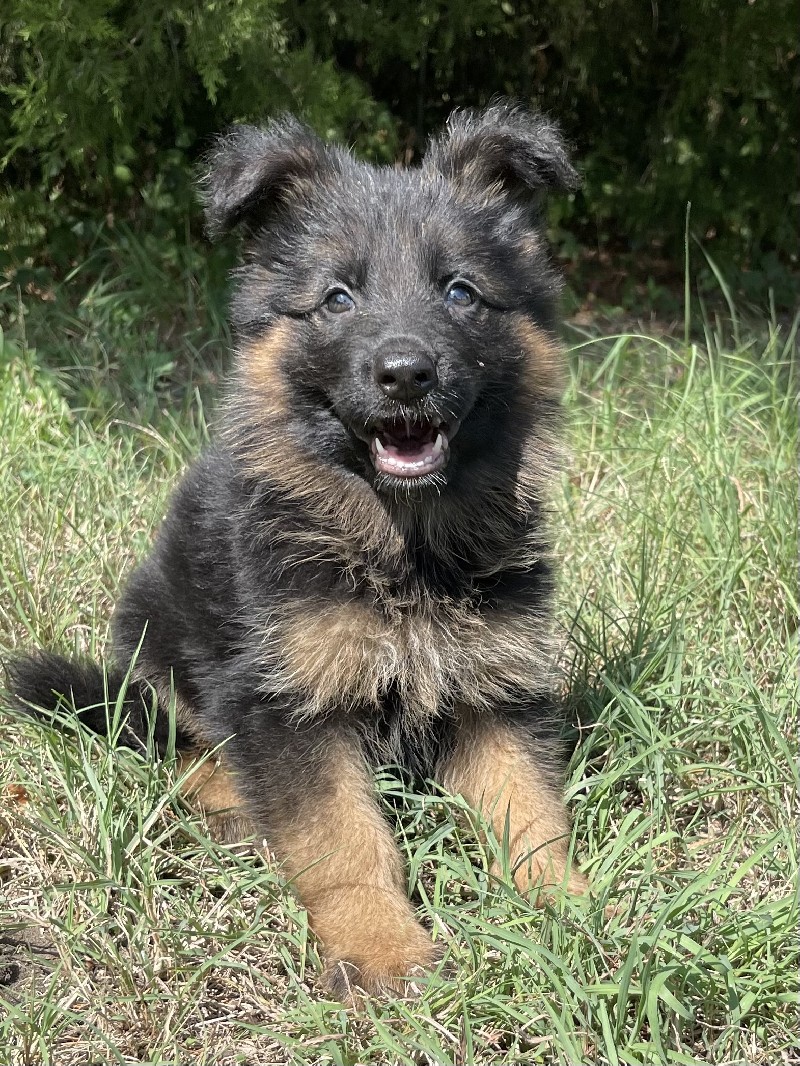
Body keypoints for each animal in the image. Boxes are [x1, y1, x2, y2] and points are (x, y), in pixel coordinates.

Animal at [7, 100, 588, 997]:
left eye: (460, 292)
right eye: (338, 299)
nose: (406, 373)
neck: (401, 545)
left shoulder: (493, 686)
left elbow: (528, 810)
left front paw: (576, 913)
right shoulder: (283, 702)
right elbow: (344, 839)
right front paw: (382, 949)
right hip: (160, 635)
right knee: (176, 742)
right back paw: (230, 804)